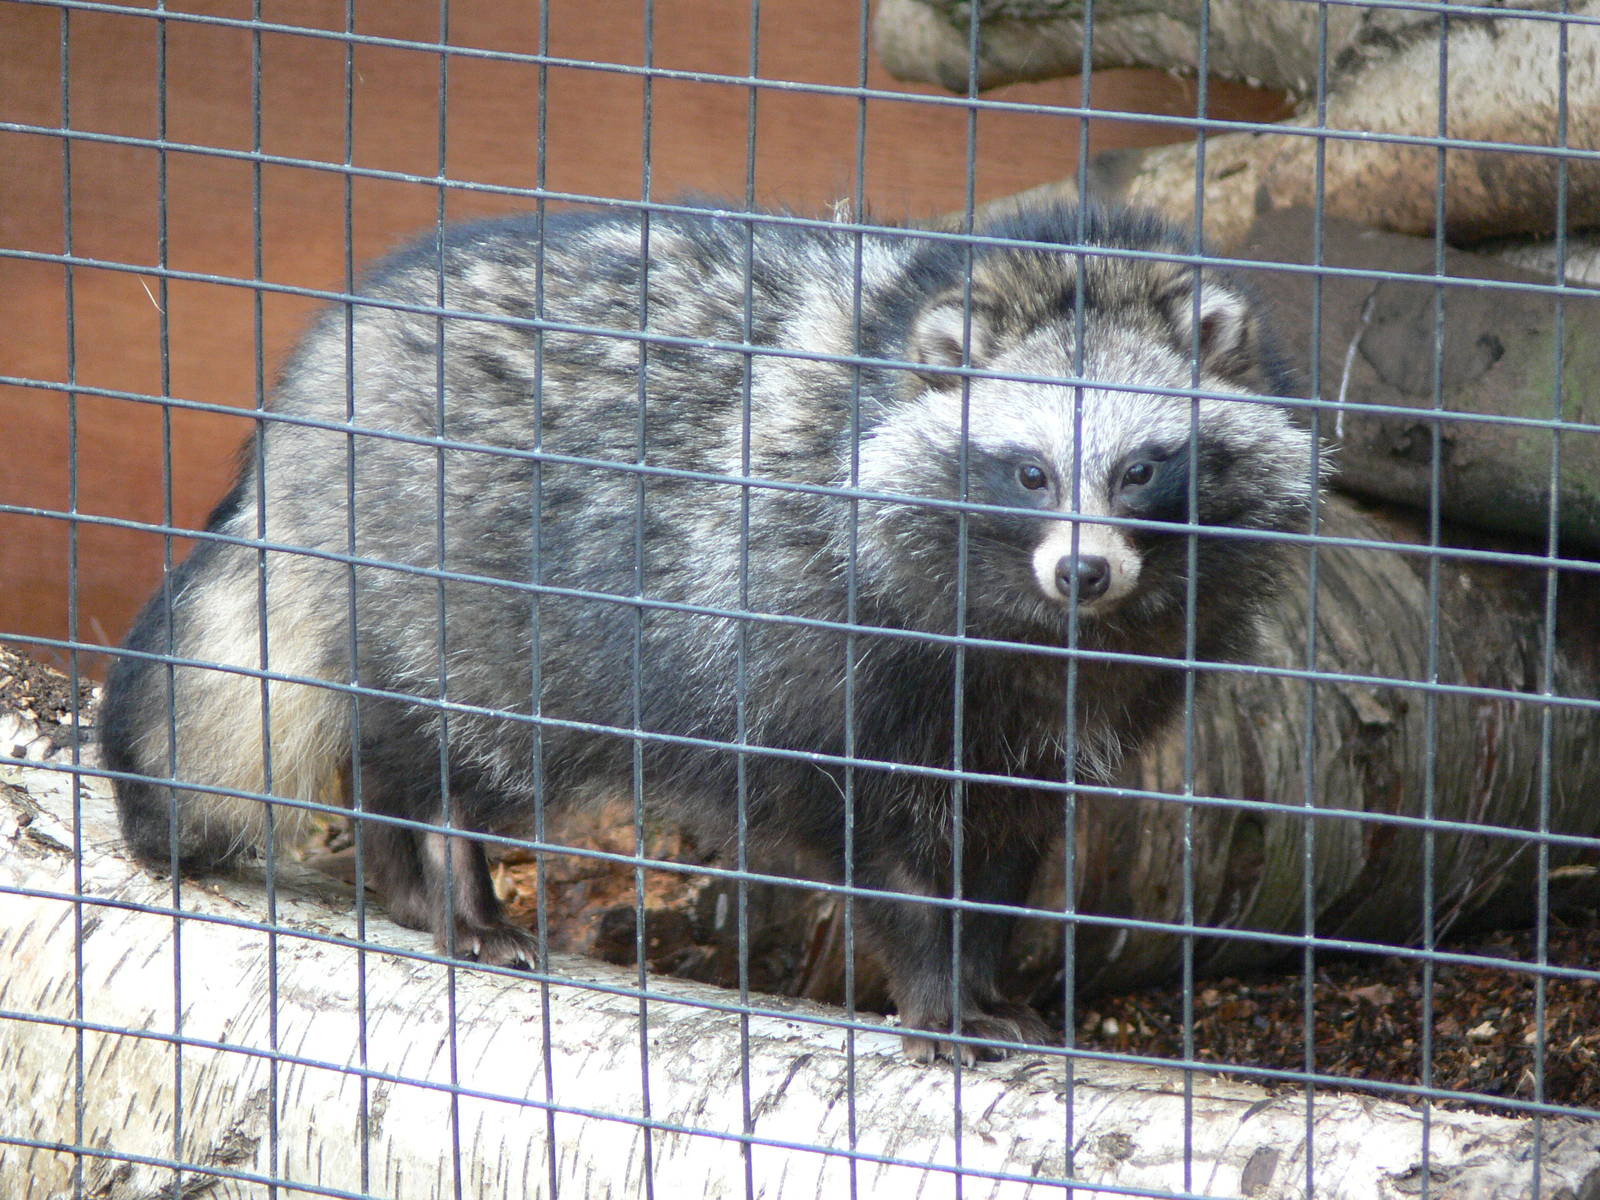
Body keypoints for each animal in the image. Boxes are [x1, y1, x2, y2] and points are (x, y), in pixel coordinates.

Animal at [101, 201, 1315, 1063]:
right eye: (1028, 472)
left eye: (1139, 469)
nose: (1083, 571)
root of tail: (319, 380)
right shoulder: (814, 638)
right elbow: (881, 850)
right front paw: (933, 992)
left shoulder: (1065, 715)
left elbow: (1006, 846)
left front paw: (980, 974)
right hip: (450, 578)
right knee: (445, 737)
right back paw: (438, 862)